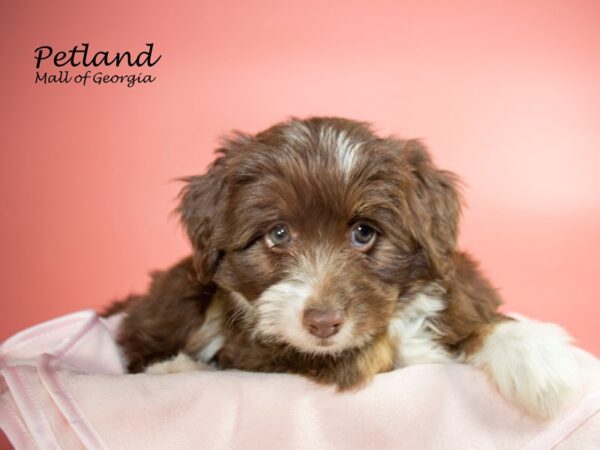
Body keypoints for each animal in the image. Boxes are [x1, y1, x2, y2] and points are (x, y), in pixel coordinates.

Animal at [106, 118, 576, 420]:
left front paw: (541, 359)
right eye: (278, 234)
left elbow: (472, 315)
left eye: (364, 232)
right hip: (181, 294)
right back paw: (175, 368)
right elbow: (377, 352)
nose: (322, 323)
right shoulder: (261, 350)